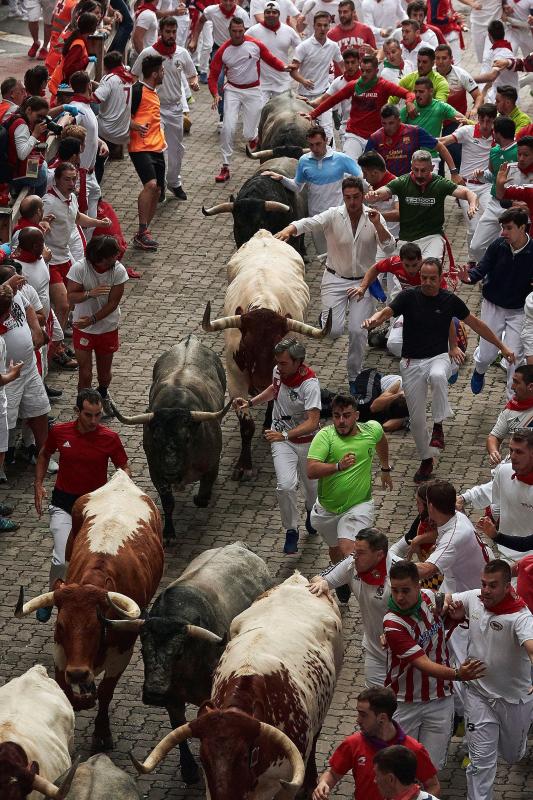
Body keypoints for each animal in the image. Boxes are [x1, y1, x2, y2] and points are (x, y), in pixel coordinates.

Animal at [14, 472, 164, 752]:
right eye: (60, 625)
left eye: (98, 626)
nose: (79, 673)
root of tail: (120, 479)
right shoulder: (61, 652)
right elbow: (65, 690)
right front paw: (80, 698)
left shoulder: (122, 652)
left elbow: (105, 693)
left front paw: (102, 733)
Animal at [203, 231, 330, 482]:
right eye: (246, 345)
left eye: (277, 347)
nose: (260, 383)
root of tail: (265, 234)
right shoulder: (235, 380)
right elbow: (246, 425)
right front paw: (244, 466)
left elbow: (274, 400)